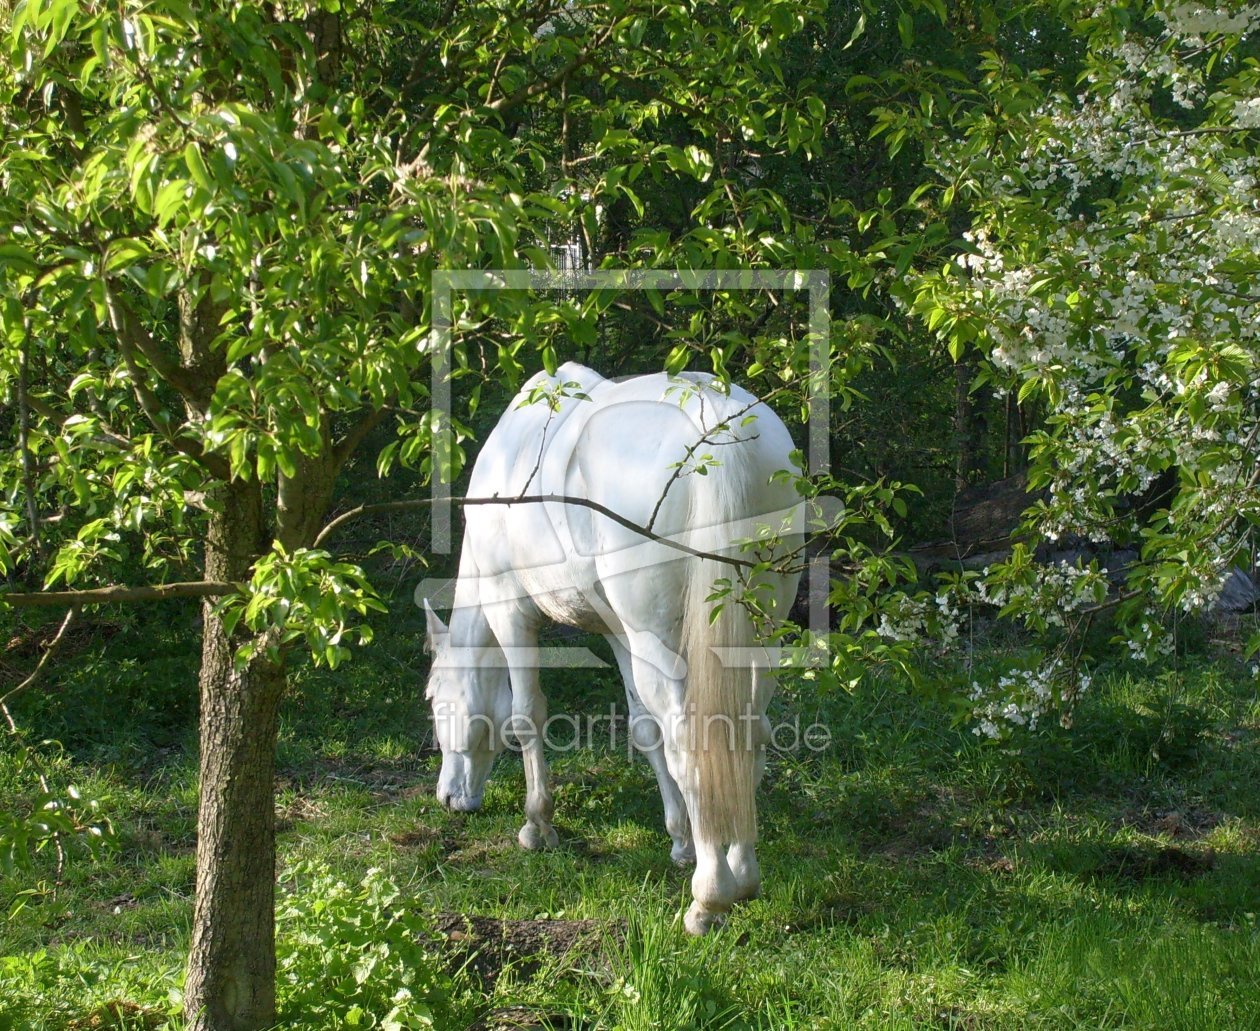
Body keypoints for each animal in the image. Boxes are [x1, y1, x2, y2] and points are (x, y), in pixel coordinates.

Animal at [423, 360, 796, 932]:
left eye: (434, 701)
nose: (448, 797)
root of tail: (717, 423)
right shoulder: (617, 633)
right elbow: (644, 728)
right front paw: (681, 840)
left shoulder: (511, 611)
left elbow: (526, 714)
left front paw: (537, 827)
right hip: (758, 638)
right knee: (747, 740)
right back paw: (742, 874)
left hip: (659, 639)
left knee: (694, 745)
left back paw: (708, 900)